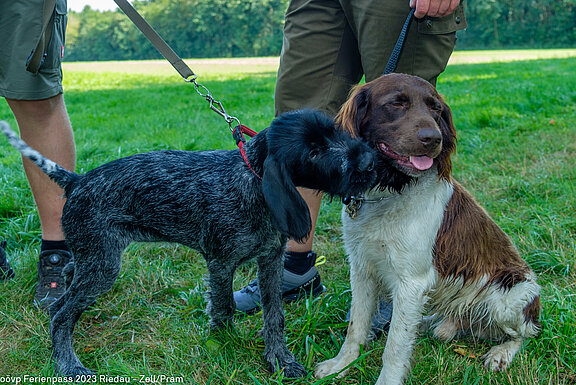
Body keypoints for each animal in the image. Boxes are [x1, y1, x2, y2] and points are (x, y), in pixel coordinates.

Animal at [1, 109, 378, 376]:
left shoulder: (270, 260)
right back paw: (68, 364)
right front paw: (223, 344)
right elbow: (224, 308)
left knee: (67, 279)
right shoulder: (221, 262)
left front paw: (279, 360)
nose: (369, 160)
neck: (252, 183)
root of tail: (76, 180)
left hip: (93, 257)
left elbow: (275, 316)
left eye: (335, 131)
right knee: (61, 315)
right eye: (314, 151)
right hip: (102, 264)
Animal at [316, 73, 540, 382]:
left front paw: (387, 381)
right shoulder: (362, 268)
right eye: (396, 103)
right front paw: (341, 364)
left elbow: (395, 346)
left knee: (524, 335)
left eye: (436, 109)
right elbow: (356, 327)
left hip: (509, 295)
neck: (390, 191)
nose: (434, 138)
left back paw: (500, 354)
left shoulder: (412, 282)